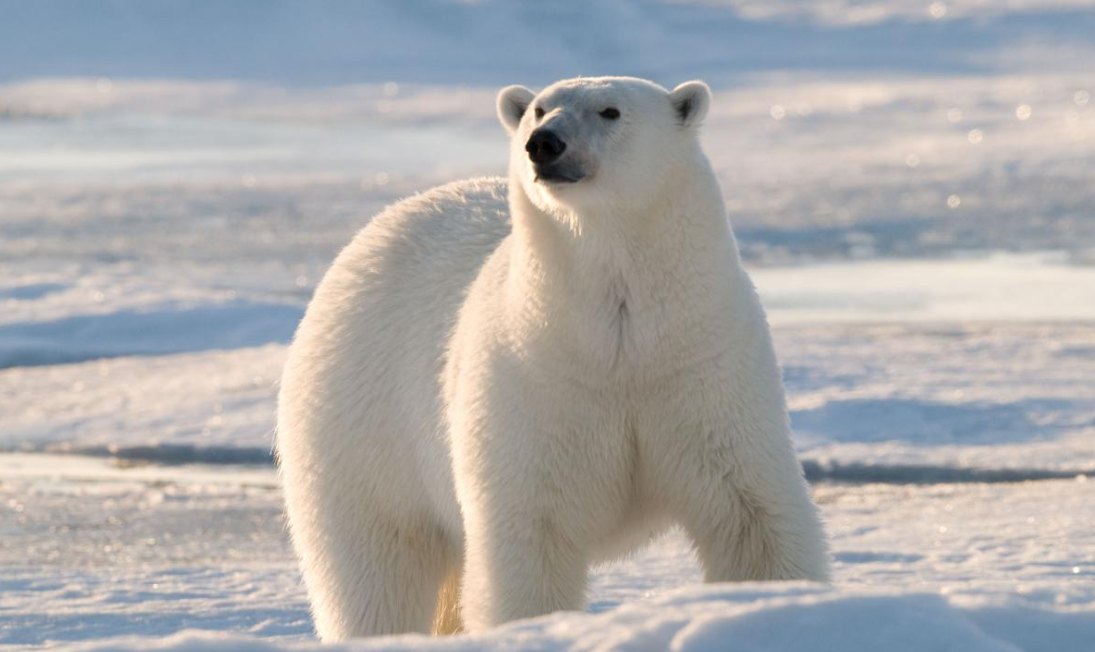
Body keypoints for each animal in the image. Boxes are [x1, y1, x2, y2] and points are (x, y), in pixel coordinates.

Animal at [276, 76, 831, 641]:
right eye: (540, 109)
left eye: (610, 111)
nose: (543, 143)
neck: (619, 343)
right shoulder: (534, 383)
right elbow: (530, 535)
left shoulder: (705, 365)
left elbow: (750, 513)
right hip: (363, 425)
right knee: (377, 568)